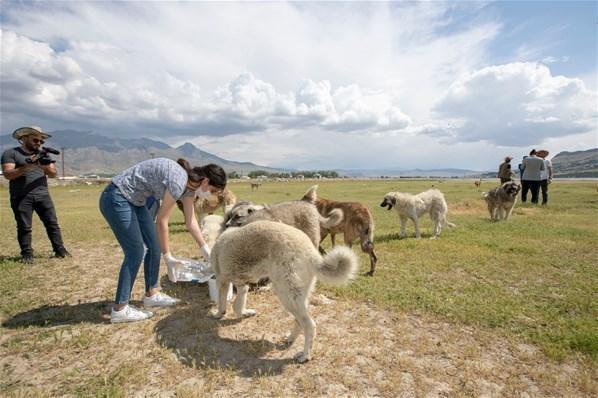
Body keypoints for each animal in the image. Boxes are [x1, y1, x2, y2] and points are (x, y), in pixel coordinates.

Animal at [212, 221, 360, 364]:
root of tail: (311, 253)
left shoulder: (222, 280)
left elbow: (223, 303)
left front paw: (219, 314)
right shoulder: (242, 284)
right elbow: (238, 304)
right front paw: (245, 313)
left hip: (285, 295)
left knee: (309, 325)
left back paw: (305, 356)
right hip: (296, 298)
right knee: (299, 321)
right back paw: (290, 338)